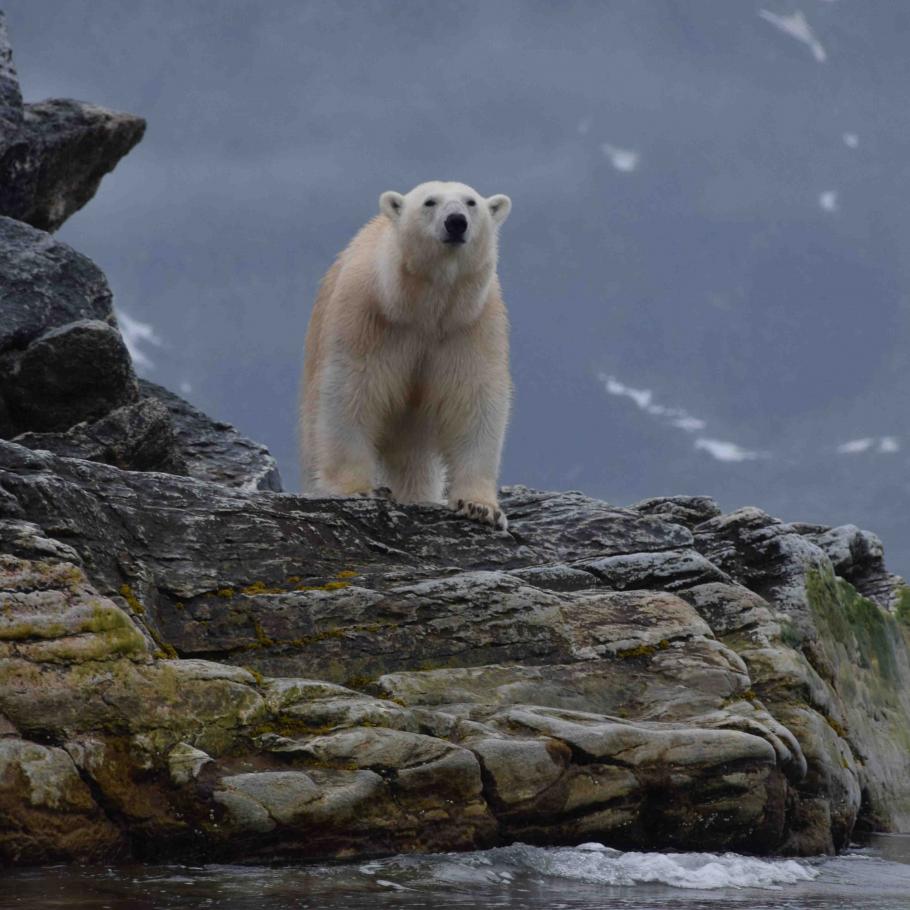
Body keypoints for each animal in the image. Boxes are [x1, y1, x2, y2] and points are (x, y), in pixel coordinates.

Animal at [302, 182, 510, 532]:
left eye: (471, 202)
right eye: (430, 202)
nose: (456, 222)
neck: (424, 307)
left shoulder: (470, 327)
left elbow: (475, 400)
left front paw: (479, 506)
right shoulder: (368, 317)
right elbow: (351, 391)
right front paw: (356, 489)